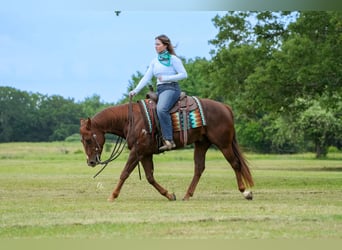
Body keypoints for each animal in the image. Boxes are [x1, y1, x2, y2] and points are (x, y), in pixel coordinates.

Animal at [79, 97, 252, 201]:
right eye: (82, 140)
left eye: (88, 139)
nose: (91, 162)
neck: (131, 119)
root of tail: (225, 107)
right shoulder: (145, 154)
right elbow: (150, 177)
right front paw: (169, 195)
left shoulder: (137, 151)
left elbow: (124, 173)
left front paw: (113, 196)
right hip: (202, 144)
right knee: (199, 168)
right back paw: (187, 195)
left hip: (223, 144)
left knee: (235, 164)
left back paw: (245, 192)